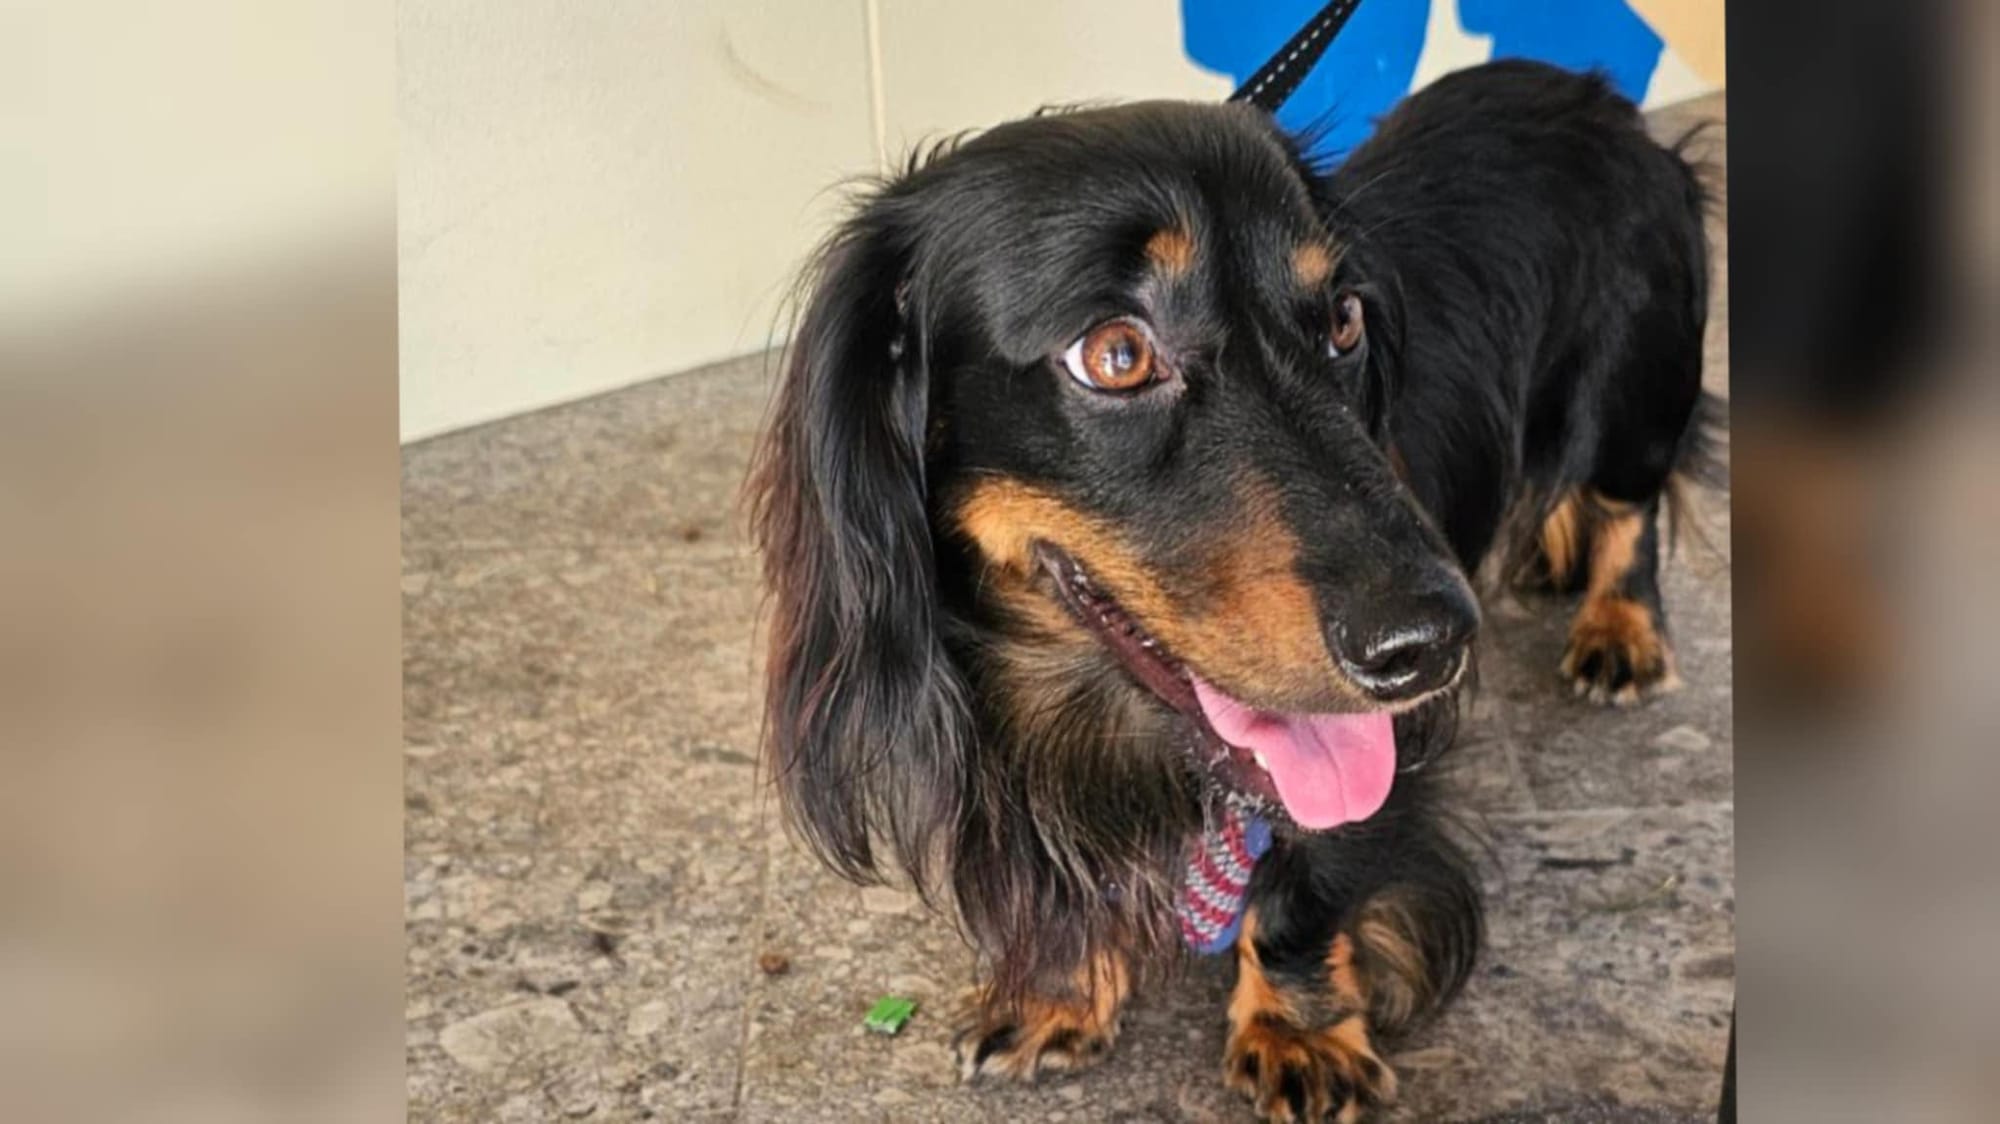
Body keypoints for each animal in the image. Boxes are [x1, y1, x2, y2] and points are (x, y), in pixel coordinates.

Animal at [744, 61, 1712, 1120]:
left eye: (1343, 321)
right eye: (1116, 354)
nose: (1432, 646)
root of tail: (1590, 89)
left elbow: (1306, 888)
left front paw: (1300, 1033)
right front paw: (1055, 992)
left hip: (1632, 393)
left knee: (1630, 504)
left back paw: (1621, 630)